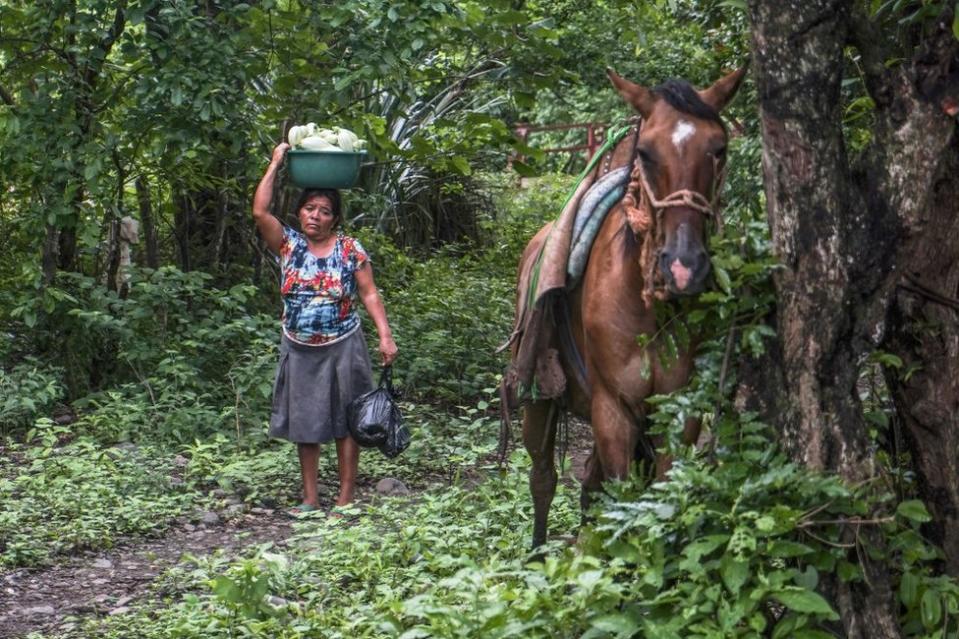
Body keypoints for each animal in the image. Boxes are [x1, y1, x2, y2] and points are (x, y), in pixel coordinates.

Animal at [516, 65, 752, 548]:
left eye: (719, 149)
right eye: (644, 152)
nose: (683, 266)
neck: (648, 310)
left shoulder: (677, 408)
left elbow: (659, 493)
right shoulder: (613, 408)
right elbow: (622, 497)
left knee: (588, 484)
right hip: (538, 395)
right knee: (543, 474)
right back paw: (537, 549)